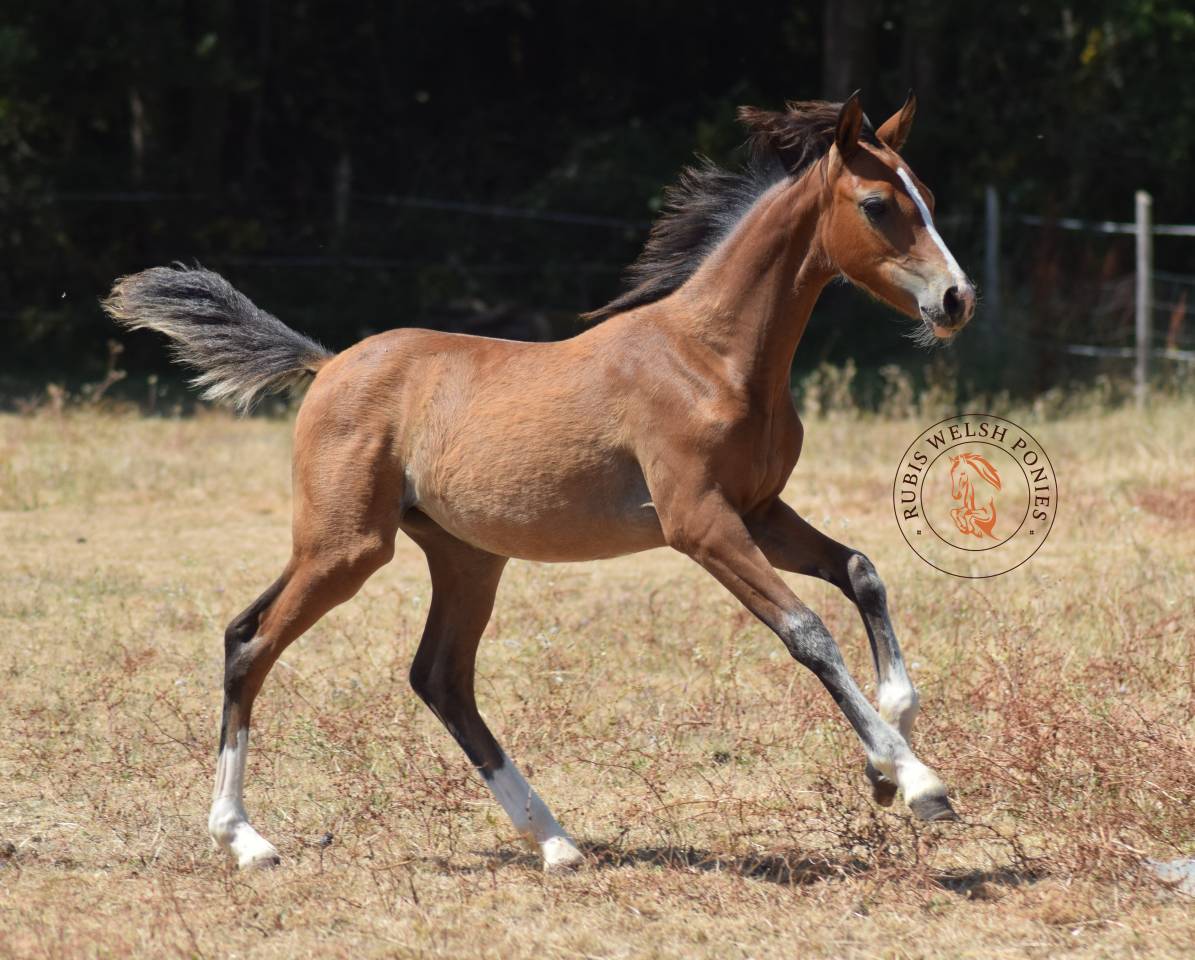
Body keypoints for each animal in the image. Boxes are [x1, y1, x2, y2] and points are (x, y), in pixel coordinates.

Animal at [104, 91, 976, 872]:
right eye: (877, 205)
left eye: (929, 200)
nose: (954, 299)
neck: (712, 356)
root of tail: (327, 363)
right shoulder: (698, 522)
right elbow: (806, 631)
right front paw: (918, 783)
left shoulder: (759, 510)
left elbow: (860, 572)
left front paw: (881, 765)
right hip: (346, 546)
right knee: (253, 643)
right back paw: (244, 840)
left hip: (461, 555)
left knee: (434, 676)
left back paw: (554, 843)